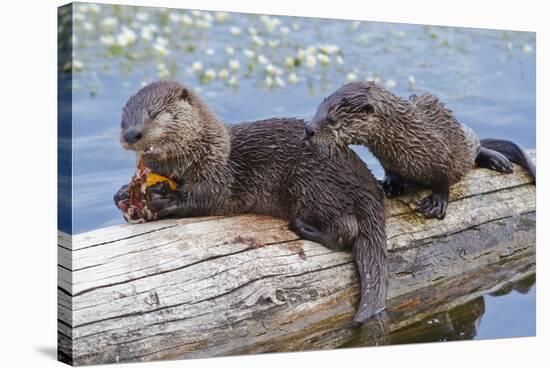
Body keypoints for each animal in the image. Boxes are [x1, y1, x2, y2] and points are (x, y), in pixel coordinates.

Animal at [112, 81, 388, 322]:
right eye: (123, 119)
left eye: (155, 113)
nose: (131, 134)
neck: (202, 151)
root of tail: (365, 181)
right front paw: (123, 194)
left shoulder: (218, 174)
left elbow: (205, 196)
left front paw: (167, 199)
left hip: (315, 184)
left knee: (346, 229)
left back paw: (303, 227)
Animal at [308, 80, 536, 218]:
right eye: (317, 110)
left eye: (332, 119)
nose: (308, 129)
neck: (404, 138)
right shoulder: (388, 161)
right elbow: (391, 172)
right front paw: (390, 185)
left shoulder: (441, 152)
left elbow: (443, 180)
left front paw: (436, 202)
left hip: (464, 140)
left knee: (476, 145)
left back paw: (498, 161)